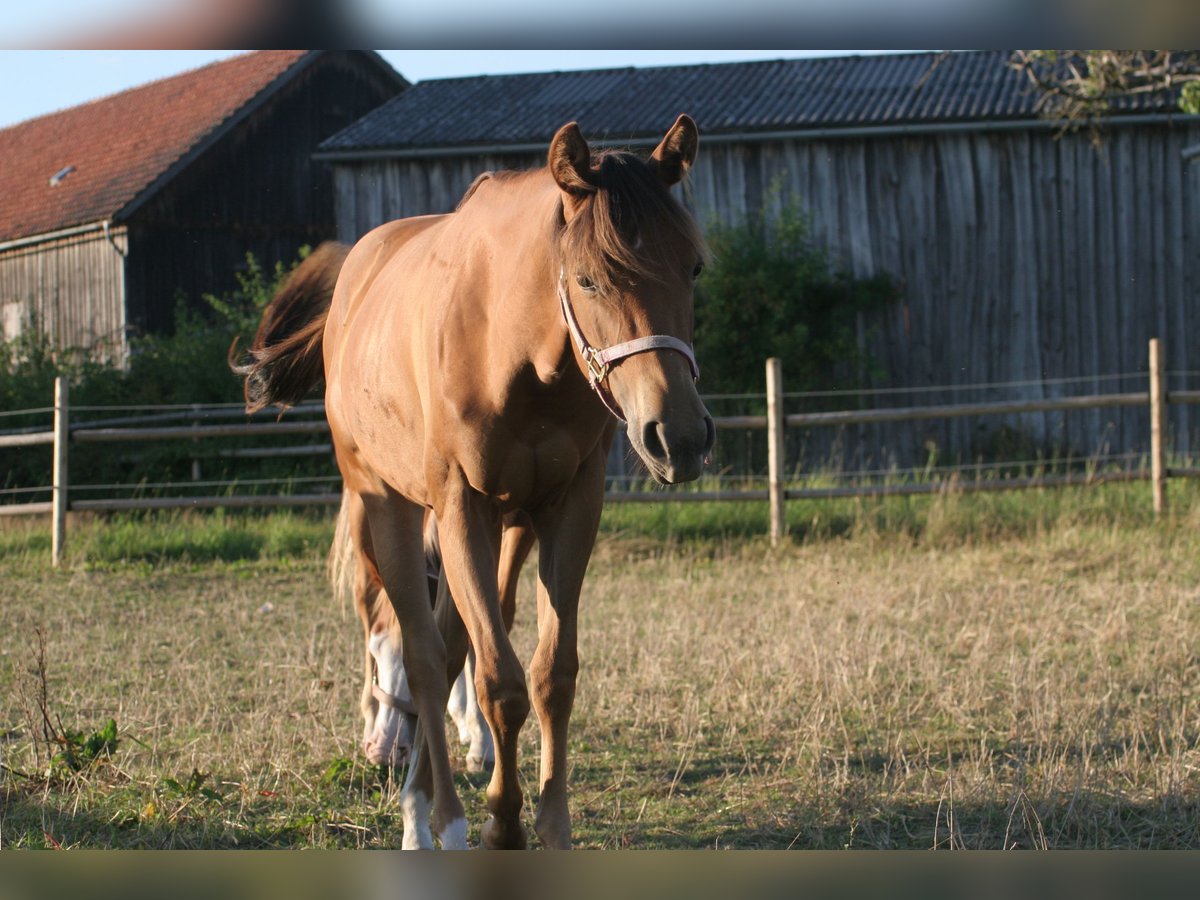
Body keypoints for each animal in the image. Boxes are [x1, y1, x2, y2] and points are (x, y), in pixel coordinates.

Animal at [234, 116, 710, 849]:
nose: (678, 437)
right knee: (425, 656)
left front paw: (552, 827)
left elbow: (551, 675)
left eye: (693, 267)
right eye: (590, 279)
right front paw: (501, 826)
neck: (511, 349)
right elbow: (496, 680)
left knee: (448, 643)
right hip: (390, 507)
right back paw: (433, 822)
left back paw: (422, 793)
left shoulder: (568, 506)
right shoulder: (461, 504)